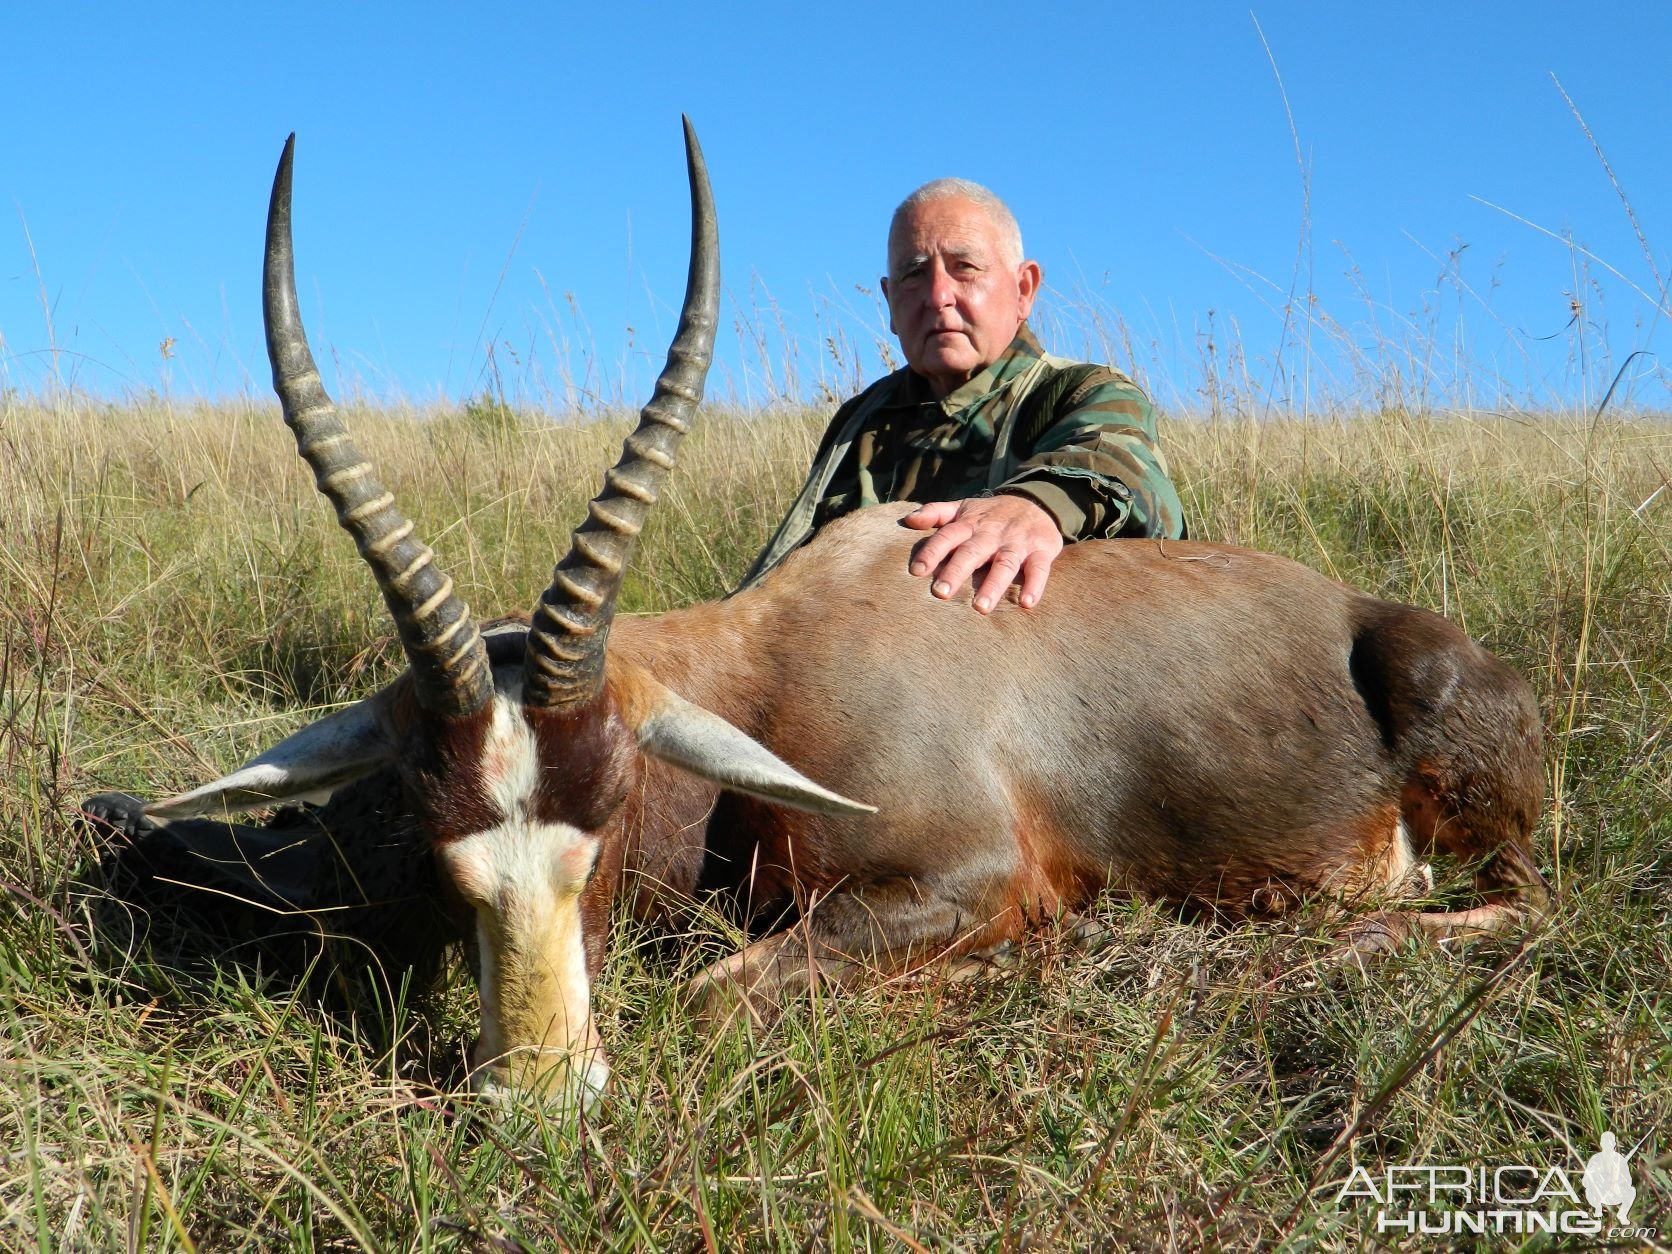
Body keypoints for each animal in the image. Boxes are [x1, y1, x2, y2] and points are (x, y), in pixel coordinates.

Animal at [101, 125, 1538, 1110]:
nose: (544, 1095)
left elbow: (719, 988)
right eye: (435, 838)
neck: (775, 666)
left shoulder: (973, 877)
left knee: (1509, 906)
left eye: (608, 820)